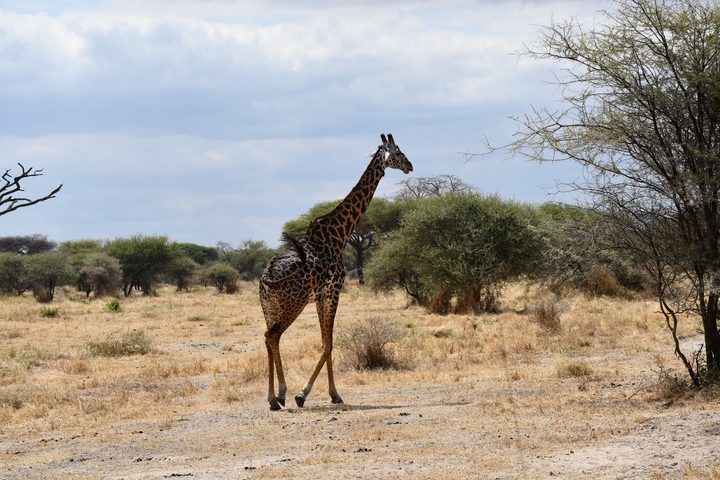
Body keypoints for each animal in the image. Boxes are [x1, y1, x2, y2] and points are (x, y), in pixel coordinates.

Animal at [259, 133, 413, 410]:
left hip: (269, 306)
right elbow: (328, 344)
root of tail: (266, 276)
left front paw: (325, 394)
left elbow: (326, 343)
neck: (339, 235)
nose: (410, 166)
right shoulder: (333, 291)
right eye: (397, 152)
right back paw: (276, 398)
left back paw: (277, 396)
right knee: (273, 335)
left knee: (270, 338)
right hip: (293, 303)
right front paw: (310, 394)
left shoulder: (322, 296)